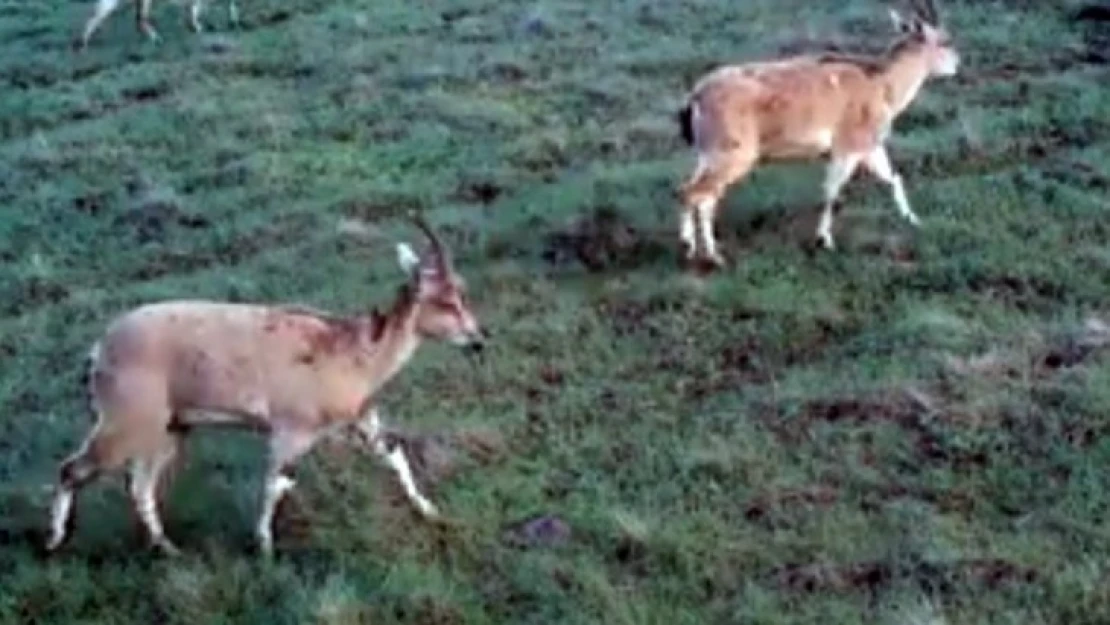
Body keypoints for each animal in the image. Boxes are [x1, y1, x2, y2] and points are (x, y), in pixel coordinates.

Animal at [44, 216, 486, 557]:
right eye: (445, 301)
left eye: (461, 294)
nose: (478, 339)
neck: (353, 351)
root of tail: (100, 351)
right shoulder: (291, 430)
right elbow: (275, 483)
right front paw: (265, 548)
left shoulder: (361, 417)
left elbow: (394, 455)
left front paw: (430, 511)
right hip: (125, 421)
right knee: (72, 469)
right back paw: (53, 541)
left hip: (170, 428)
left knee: (140, 486)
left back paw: (168, 548)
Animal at [670, 0, 959, 266]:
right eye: (944, 40)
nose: (957, 64)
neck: (881, 84)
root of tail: (696, 97)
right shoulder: (847, 146)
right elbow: (832, 192)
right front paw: (824, 240)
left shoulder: (870, 146)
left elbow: (893, 178)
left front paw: (914, 220)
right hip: (733, 153)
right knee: (693, 192)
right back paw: (703, 253)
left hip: (709, 153)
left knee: (701, 194)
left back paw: (699, 249)